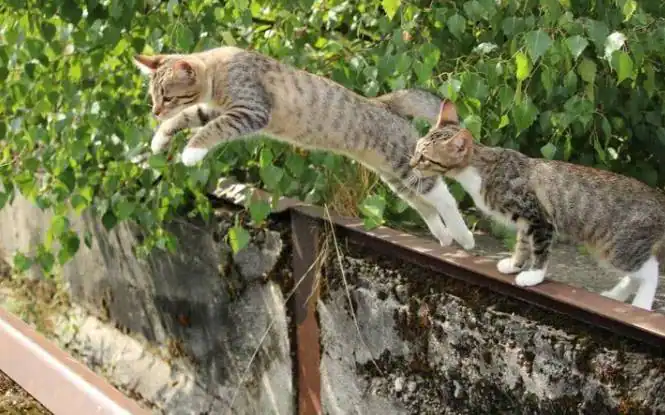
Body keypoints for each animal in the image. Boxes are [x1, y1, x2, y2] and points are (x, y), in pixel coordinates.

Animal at [132, 46, 475, 250]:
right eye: (153, 97)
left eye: (167, 96)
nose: (155, 112)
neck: (219, 67)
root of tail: (385, 103)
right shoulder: (216, 109)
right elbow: (190, 116)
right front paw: (159, 138)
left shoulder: (249, 111)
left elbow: (209, 129)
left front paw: (191, 152)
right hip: (396, 178)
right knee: (425, 204)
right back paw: (444, 236)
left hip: (404, 164)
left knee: (444, 197)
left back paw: (464, 237)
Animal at [409, 100, 665, 311]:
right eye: (416, 149)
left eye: (424, 158)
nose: (411, 163)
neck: (482, 170)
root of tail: (658, 197)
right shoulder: (524, 222)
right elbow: (522, 244)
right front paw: (515, 264)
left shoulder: (539, 217)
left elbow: (540, 249)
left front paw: (533, 276)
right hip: (606, 247)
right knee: (637, 273)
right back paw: (616, 295)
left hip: (619, 246)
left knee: (650, 270)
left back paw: (641, 304)